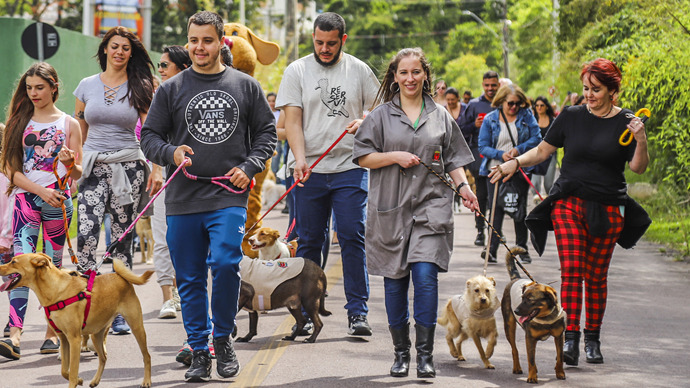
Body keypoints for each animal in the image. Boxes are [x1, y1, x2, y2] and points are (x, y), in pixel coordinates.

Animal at [0, 253, 153, 386]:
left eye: (13, 261)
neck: (56, 292)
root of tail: (120, 276)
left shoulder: (74, 339)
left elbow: (72, 371)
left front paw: (75, 380)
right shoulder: (63, 338)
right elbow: (64, 370)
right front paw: (79, 380)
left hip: (137, 327)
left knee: (147, 356)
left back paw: (146, 381)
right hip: (96, 334)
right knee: (103, 358)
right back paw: (95, 380)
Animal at [500, 247, 564, 384]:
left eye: (530, 300)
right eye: (522, 298)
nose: (516, 311)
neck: (546, 318)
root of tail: (516, 278)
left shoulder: (559, 336)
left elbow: (560, 357)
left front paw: (560, 373)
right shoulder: (530, 339)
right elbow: (531, 360)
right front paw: (532, 376)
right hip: (509, 326)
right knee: (514, 349)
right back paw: (517, 367)